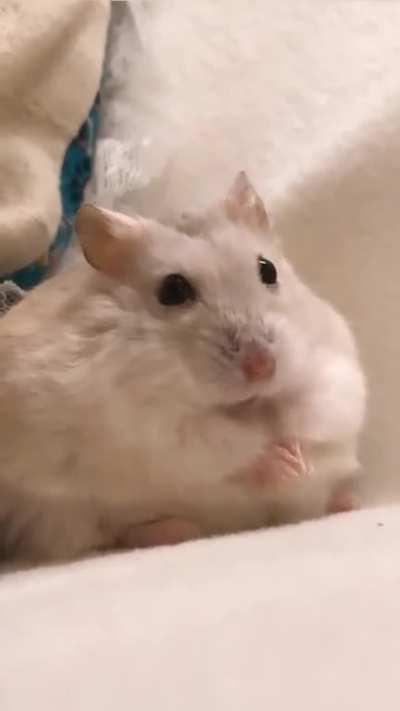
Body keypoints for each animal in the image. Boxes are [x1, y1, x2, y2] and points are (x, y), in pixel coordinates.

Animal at [0, 172, 366, 562]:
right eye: (173, 290)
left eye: (268, 270)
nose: (262, 367)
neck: (247, 407)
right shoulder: (152, 426)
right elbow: (223, 445)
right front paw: (281, 464)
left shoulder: (334, 376)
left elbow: (310, 416)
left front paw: (298, 461)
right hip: (58, 515)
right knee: (116, 534)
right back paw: (176, 530)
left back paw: (347, 501)